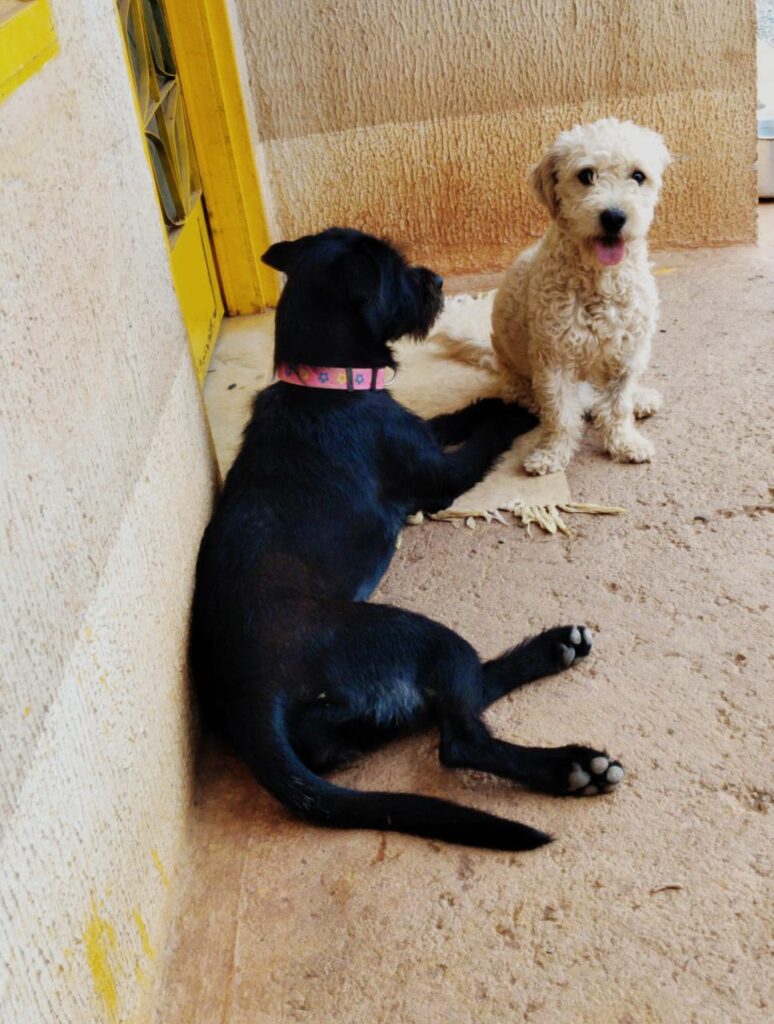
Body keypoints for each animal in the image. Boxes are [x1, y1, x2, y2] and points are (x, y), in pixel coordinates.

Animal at [190, 228, 626, 851]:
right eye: (395, 269)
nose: (438, 280)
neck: (327, 383)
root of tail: (251, 697)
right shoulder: (439, 477)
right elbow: (480, 443)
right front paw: (517, 413)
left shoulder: (418, 430)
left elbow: (451, 418)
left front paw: (495, 400)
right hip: (419, 637)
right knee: (461, 739)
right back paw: (572, 762)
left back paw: (555, 649)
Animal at [448, 117, 671, 473]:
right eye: (586, 174)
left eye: (638, 176)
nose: (614, 217)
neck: (599, 281)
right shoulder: (554, 361)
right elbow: (562, 416)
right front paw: (552, 454)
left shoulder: (627, 354)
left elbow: (618, 407)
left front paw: (624, 443)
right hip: (520, 378)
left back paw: (640, 399)